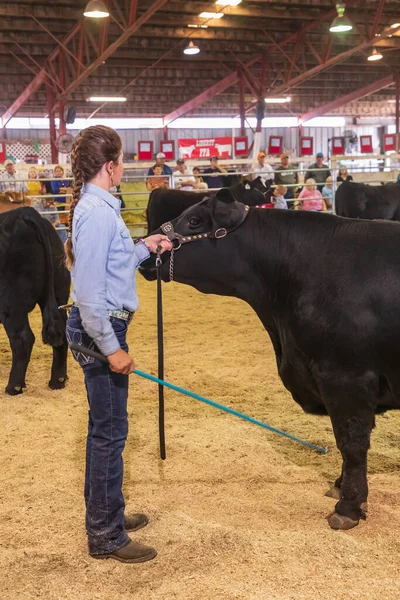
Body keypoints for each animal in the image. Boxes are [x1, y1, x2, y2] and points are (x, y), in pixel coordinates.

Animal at [0, 206, 70, 394]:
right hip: (59, 291)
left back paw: (14, 386)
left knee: (23, 339)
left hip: (11, 304)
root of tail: (23, 212)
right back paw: (57, 380)